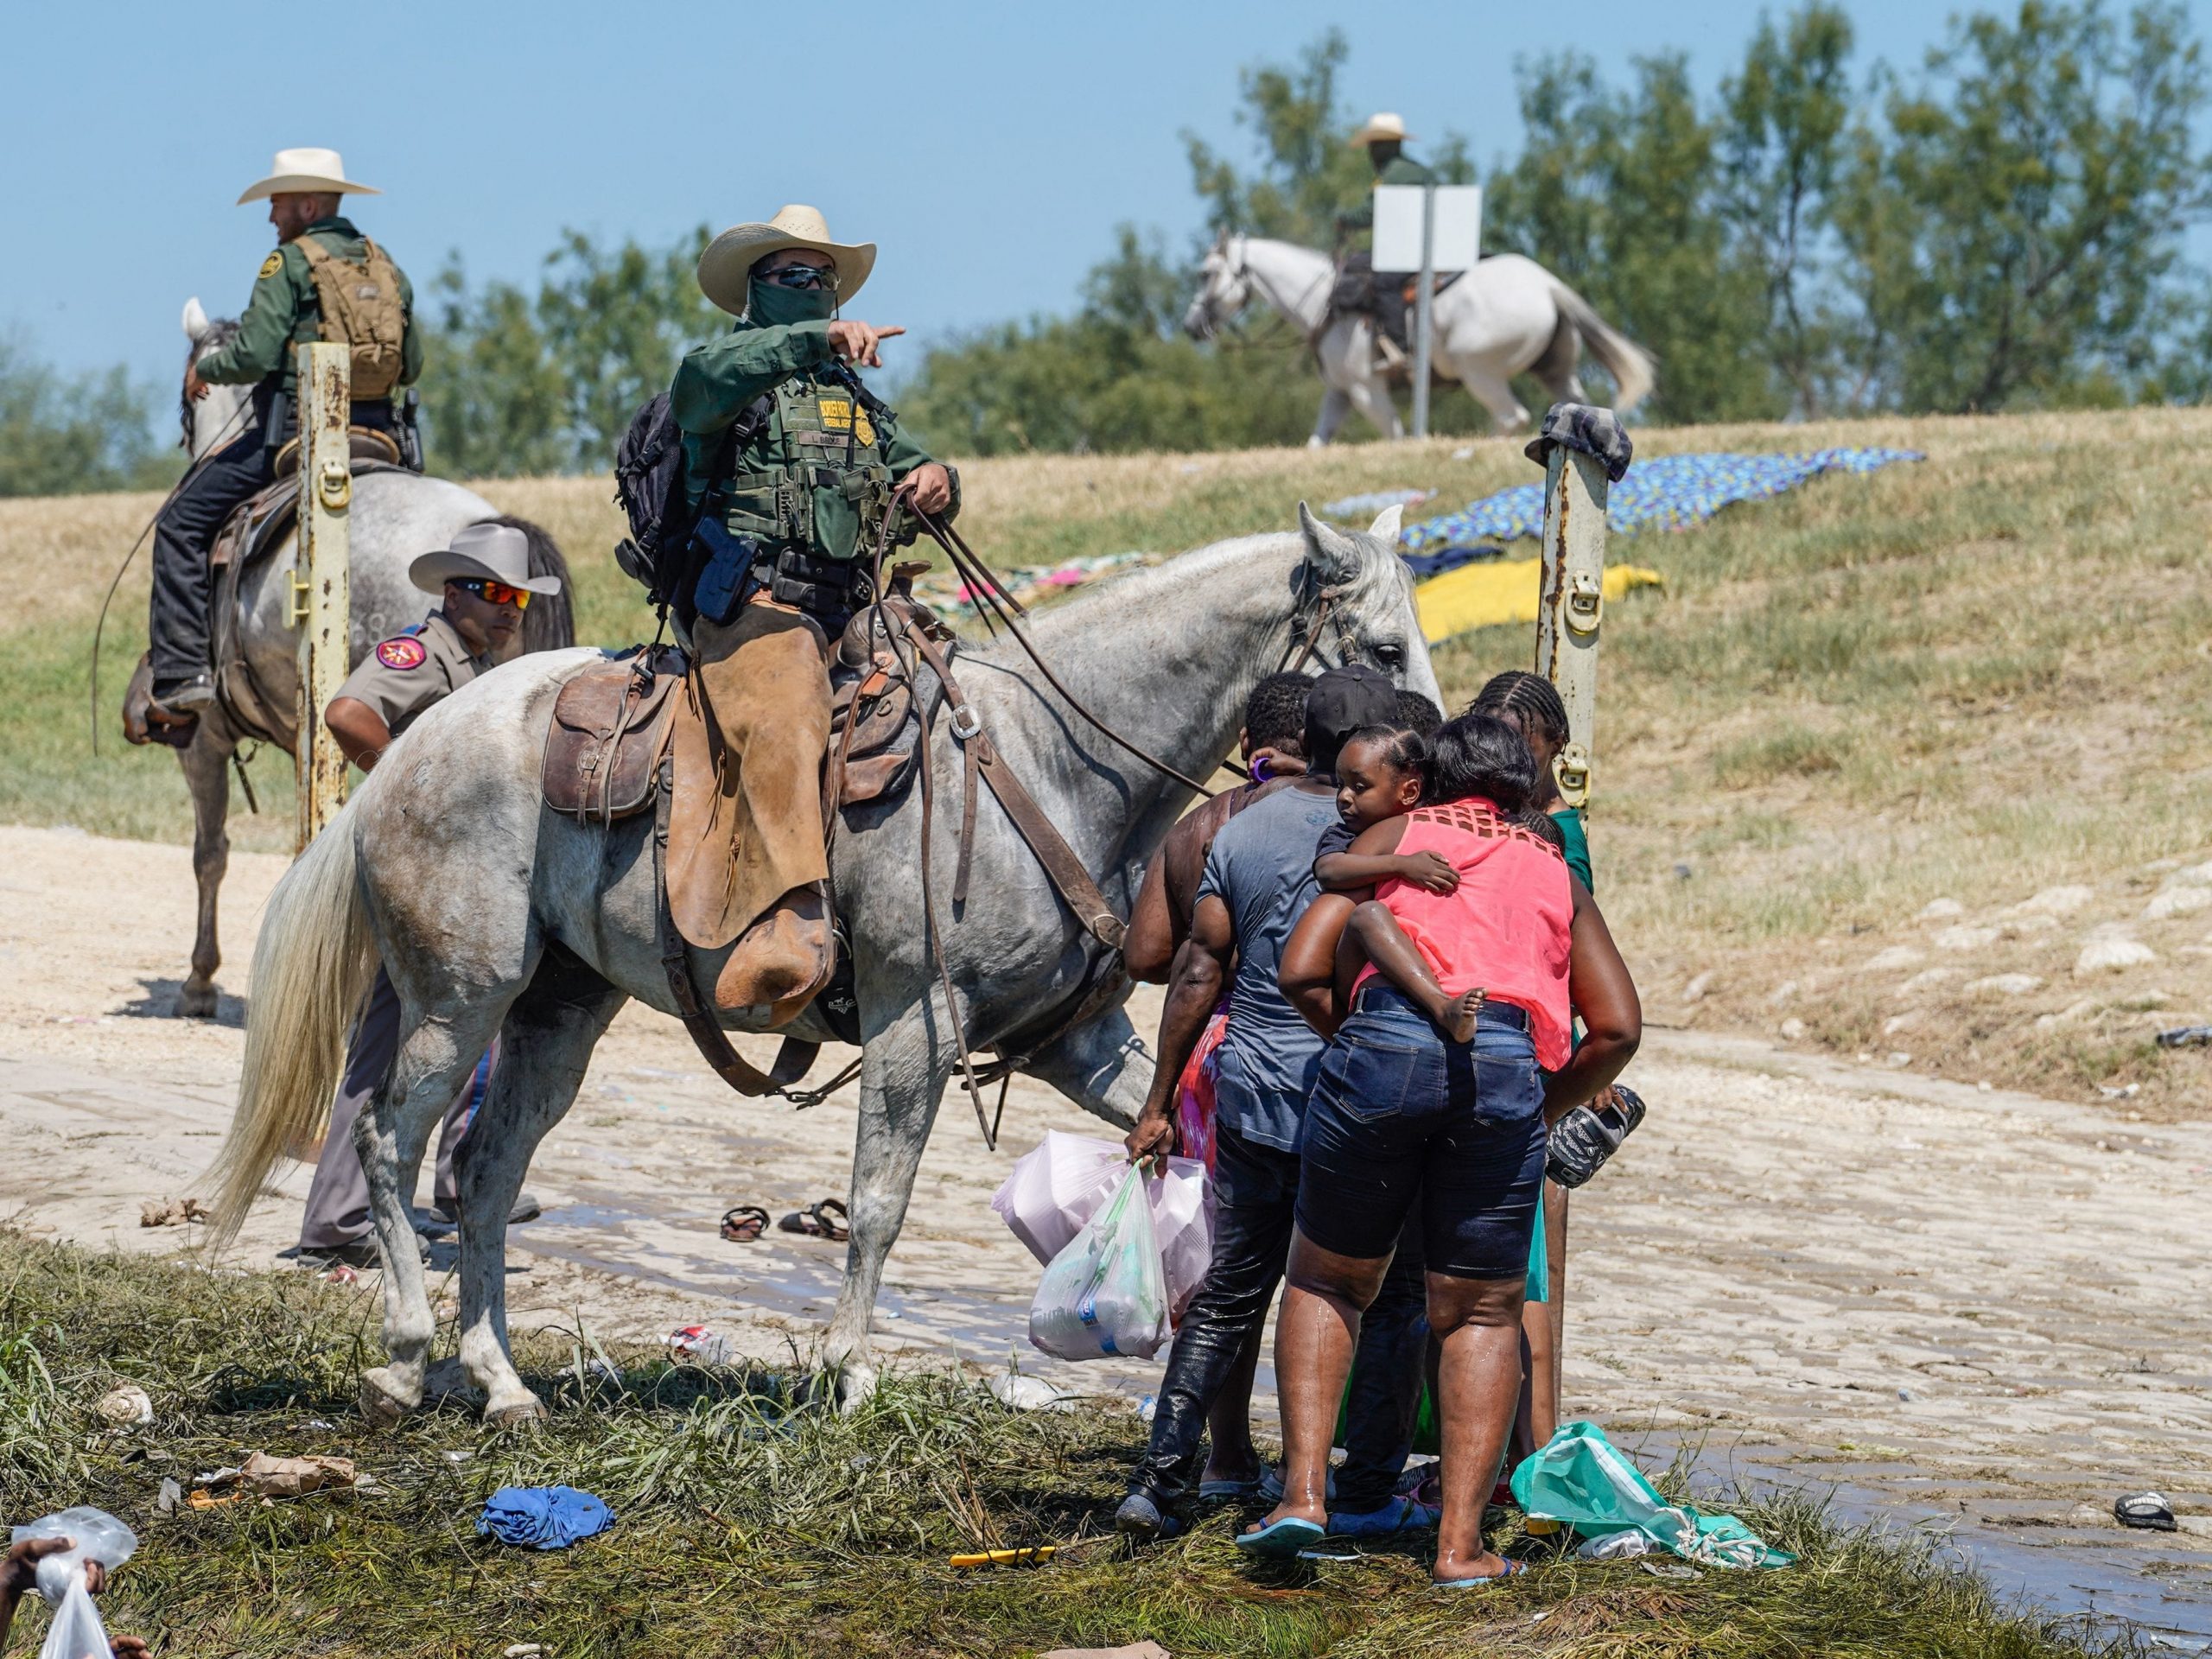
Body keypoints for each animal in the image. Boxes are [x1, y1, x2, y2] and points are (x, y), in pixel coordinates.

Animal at [215, 499, 1442, 1424]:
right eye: (1383, 649)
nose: (1422, 775)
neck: (1048, 763)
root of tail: (407, 753)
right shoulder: (918, 1023)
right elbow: (878, 1203)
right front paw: (850, 1373)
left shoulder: (1079, 1044)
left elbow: (1176, 1133)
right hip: (457, 1000)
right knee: (386, 1138)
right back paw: (404, 1354)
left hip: (560, 1011)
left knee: (487, 1171)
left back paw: (502, 1380)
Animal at [1185, 234, 1654, 444]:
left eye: (1206, 274)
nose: (1191, 326)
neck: (1325, 303)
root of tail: (1547, 285)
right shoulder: (1340, 393)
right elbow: (1317, 442)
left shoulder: (1366, 390)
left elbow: (1394, 435)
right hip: (1556, 370)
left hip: (1480, 373)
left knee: (1510, 417)